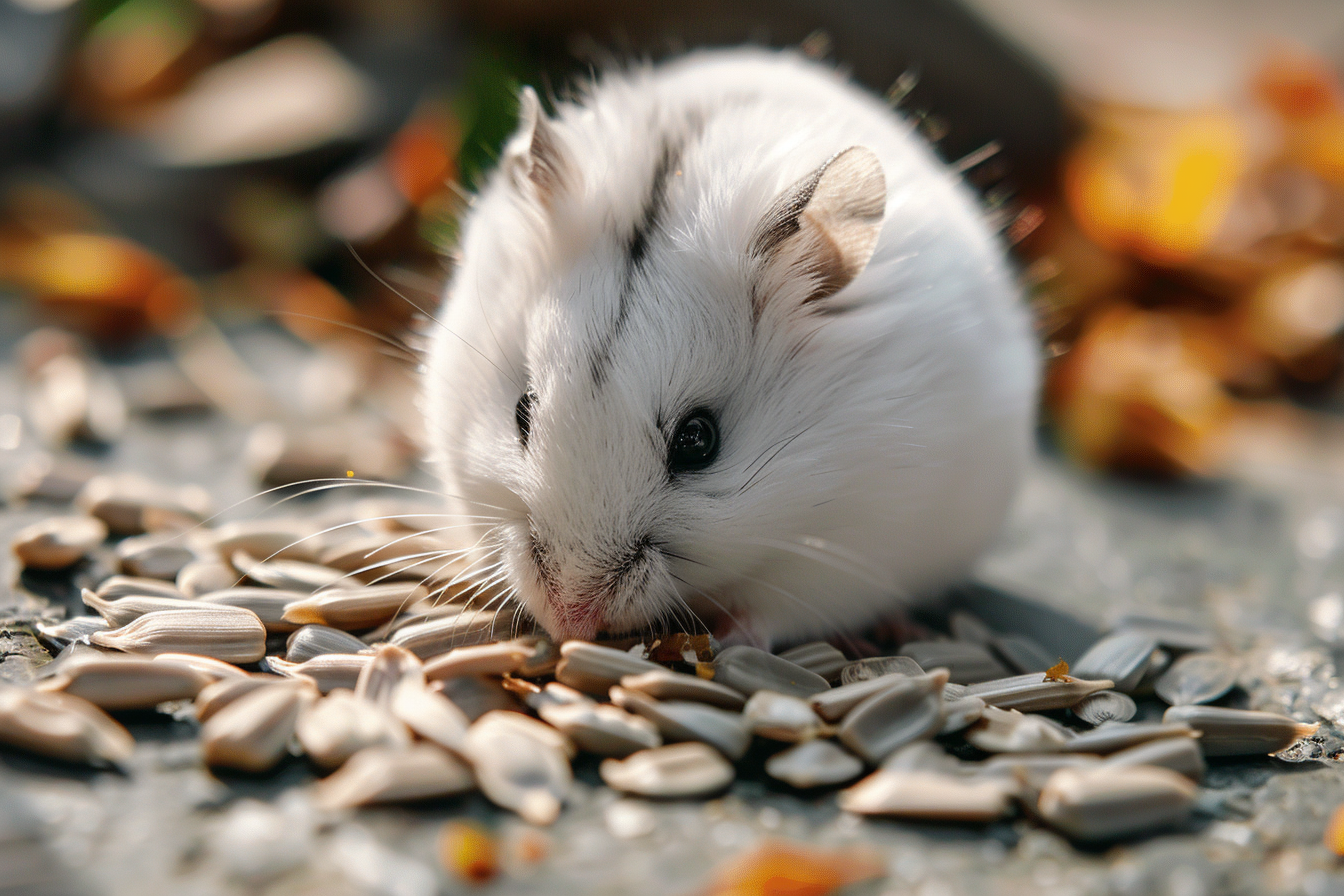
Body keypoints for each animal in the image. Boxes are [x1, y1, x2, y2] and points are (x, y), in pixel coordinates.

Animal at [422, 48, 1040, 648]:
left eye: (698, 441)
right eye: (521, 413)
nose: (572, 621)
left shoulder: (855, 549)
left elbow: (776, 609)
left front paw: (725, 638)